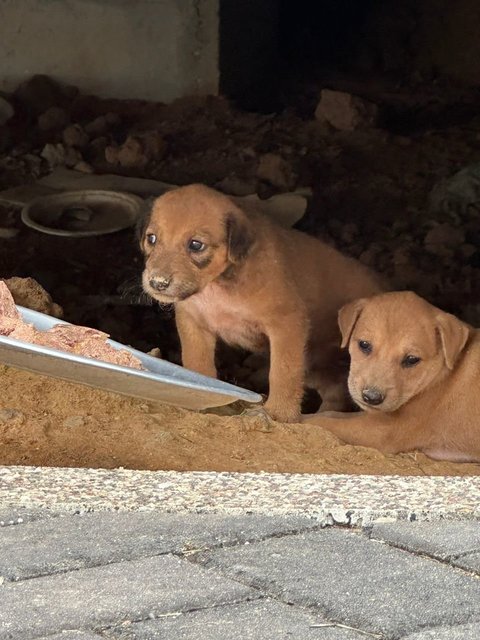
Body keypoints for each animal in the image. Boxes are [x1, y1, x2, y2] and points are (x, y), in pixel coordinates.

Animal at [139, 182, 382, 422]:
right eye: (152, 239)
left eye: (196, 245)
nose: (157, 282)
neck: (218, 286)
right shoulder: (193, 323)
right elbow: (197, 363)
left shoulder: (287, 323)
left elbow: (283, 372)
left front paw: (278, 413)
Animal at [304, 292, 480, 462]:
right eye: (364, 345)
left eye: (412, 359)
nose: (371, 397)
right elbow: (331, 415)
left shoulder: (383, 430)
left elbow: (322, 422)